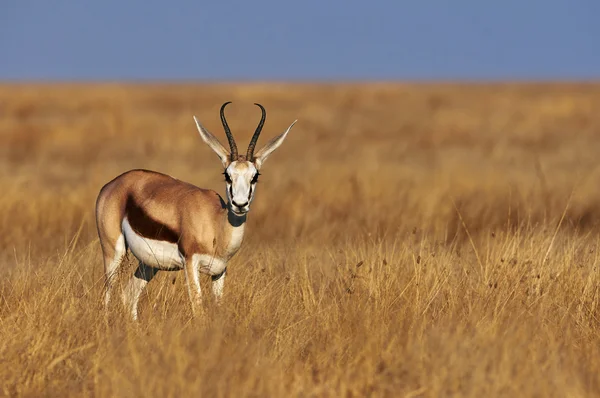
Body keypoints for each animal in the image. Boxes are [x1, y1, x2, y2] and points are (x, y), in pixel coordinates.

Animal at [94, 102, 298, 320]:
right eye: (227, 174)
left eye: (255, 176)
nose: (240, 204)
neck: (217, 224)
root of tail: (112, 184)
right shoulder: (190, 263)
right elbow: (198, 308)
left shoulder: (219, 271)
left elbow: (217, 306)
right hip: (114, 253)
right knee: (107, 297)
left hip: (149, 264)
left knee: (129, 295)